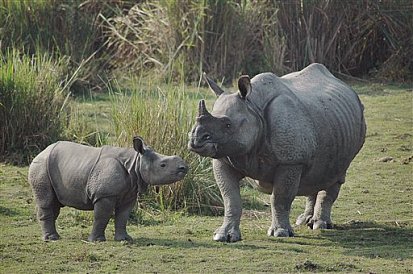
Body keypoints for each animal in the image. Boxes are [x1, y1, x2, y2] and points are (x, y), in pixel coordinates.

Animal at [29, 136, 188, 240]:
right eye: (163, 165)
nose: (184, 168)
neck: (135, 163)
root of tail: (41, 152)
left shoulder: (130, 193)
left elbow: (123, 216)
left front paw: (124, 239)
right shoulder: (105, 195)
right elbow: (102, 216)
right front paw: (96, 241)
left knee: (54, 203)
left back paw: (53, 236)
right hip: (41, 167)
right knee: (47, 201)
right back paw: (52, 239)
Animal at [188, 62, 366, 242]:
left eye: (228, 125)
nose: (195, 139)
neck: (253, 106)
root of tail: (347, 87)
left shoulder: (291, 161)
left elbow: (280, 198)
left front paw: (280, 233)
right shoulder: (224, 157)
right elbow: (230, 199)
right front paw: (223, 235)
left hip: (354, 124)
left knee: (336, 173)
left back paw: (319, 224)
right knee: (316, 173)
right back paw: (304, 220)